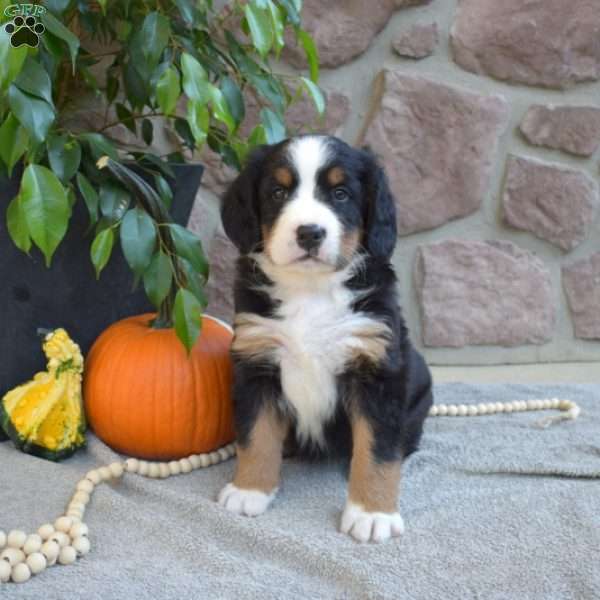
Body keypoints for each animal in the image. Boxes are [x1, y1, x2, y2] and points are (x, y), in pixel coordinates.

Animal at [218, 136, 434, 544]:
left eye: (340, 193)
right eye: (278, 192)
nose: (310, 232)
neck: (310, 291)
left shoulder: (376, 370)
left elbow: (378, 448)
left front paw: (372, 513)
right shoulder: (257, 362)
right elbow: (256, 435)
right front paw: (249, 490)